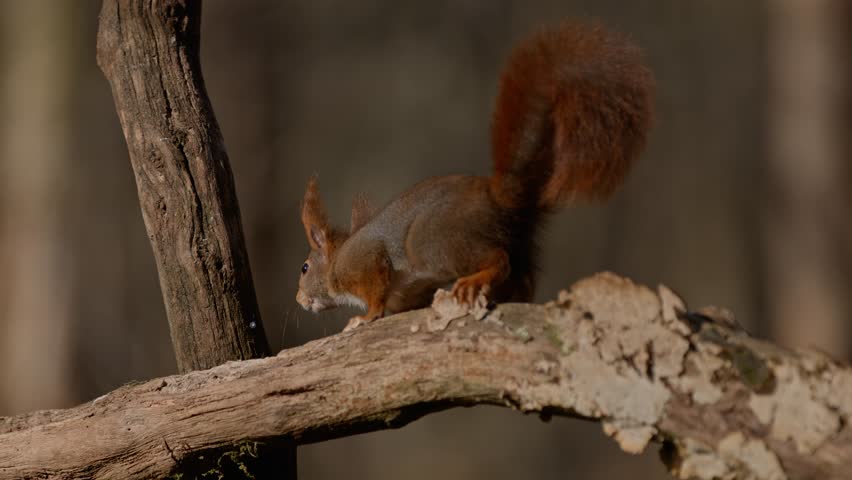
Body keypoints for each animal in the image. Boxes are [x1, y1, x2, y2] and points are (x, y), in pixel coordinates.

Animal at [296, 21, 654, 330]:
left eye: (304, 268)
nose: (299, 300)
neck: (337, 259)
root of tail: (500, 197)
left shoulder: (365, 263)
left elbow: (375, 295)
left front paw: (364, 318)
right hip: (519, 242)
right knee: (523, 277)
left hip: (433, 242)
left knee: (499, 259)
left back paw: (475, 281)